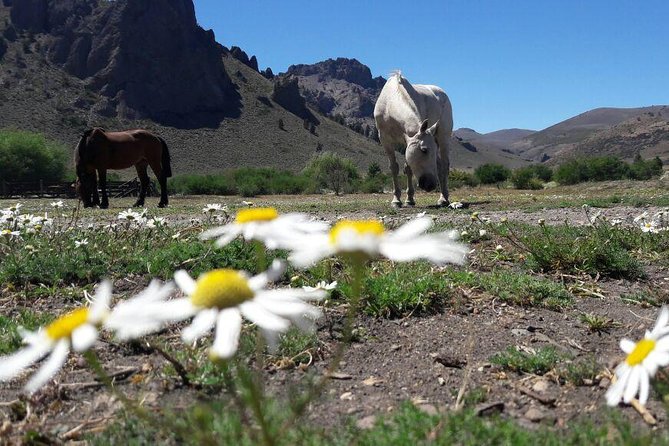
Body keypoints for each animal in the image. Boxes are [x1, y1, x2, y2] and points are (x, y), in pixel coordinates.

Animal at [374, 72, 453, 207]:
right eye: (424, 150)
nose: (430, 185)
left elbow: (408, 168)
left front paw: (408, 199)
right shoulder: (386, 140)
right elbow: (395, 168)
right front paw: (398, 200)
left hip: (444, 138)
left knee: (444, 166)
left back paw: (443, 198)